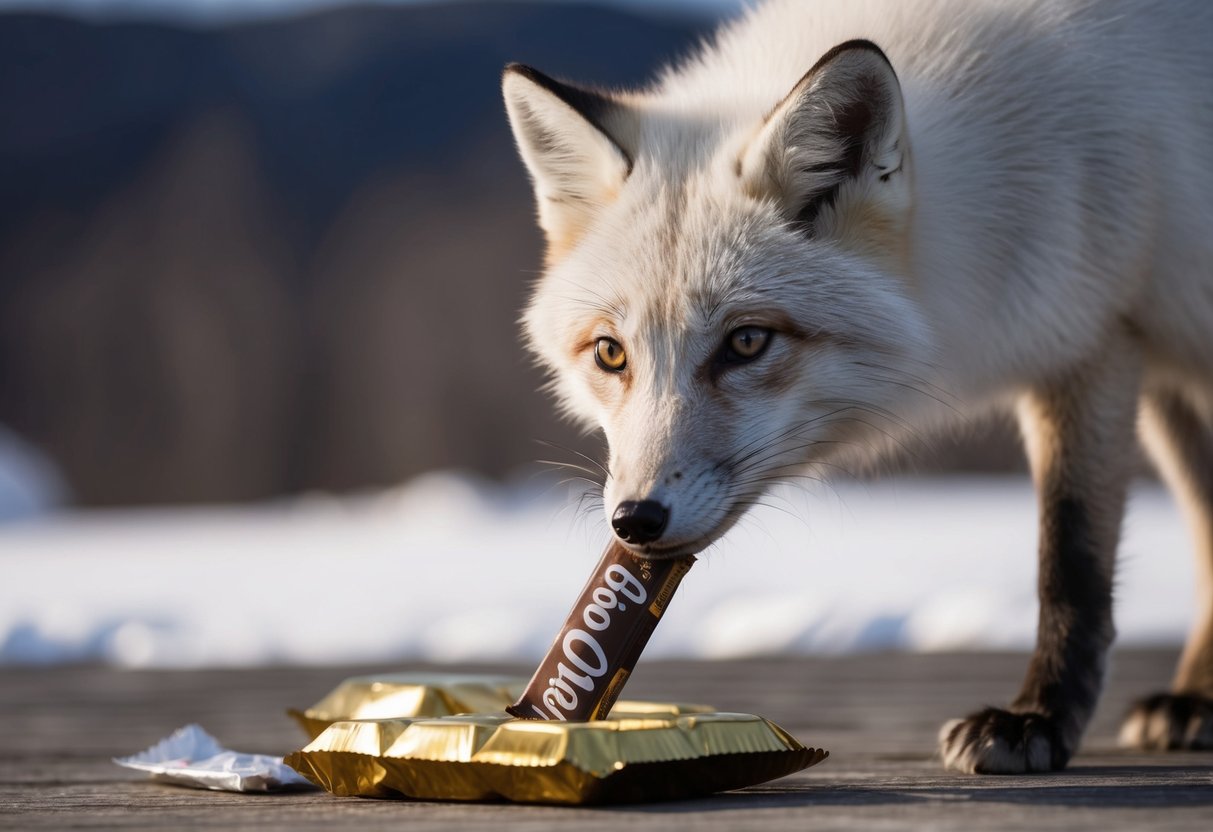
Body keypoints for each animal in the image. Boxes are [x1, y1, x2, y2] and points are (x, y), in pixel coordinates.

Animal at [501, 0, 1213, 774]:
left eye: (746, 342)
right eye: (610, 353)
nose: (634, 521)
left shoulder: (1092, 338)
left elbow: (1070, 561)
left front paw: (1036, 719)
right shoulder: (1109, 336)